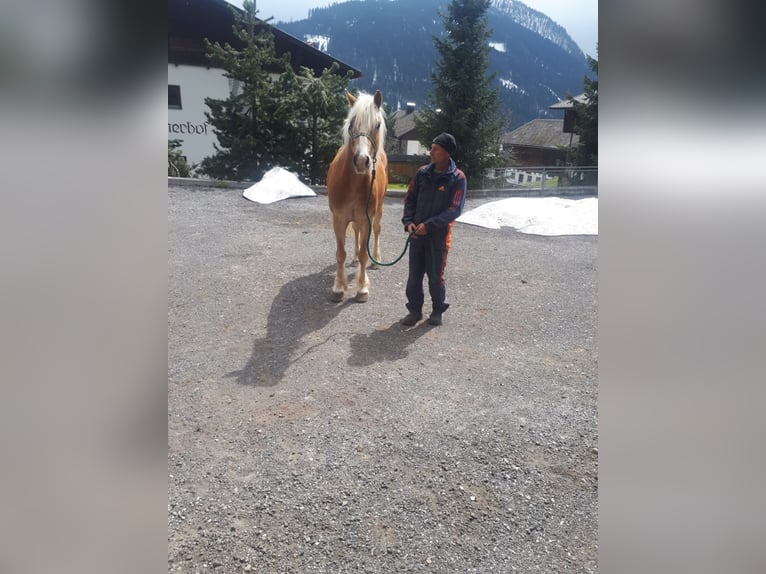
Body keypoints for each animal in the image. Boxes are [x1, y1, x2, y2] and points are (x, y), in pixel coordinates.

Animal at [328, 89, 390, 304]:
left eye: (377, 125)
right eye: (351, 124)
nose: (362, 161)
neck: (353, 182)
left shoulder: (367, 220)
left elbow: (365, 253)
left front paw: (362, 288)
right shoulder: (338, 219)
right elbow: (340, 253)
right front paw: (338, 287)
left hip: (378, 211)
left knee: (377, 230)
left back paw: (376, 259)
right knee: (355, 232)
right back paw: (354, 259)